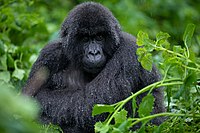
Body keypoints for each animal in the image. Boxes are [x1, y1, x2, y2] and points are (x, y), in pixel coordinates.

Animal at [22, 1, 166, 132]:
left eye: (100, 37)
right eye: (85, 38)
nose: (94, 53)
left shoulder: (129, 51)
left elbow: (92, 104)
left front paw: (40, 100)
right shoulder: (49, 55)